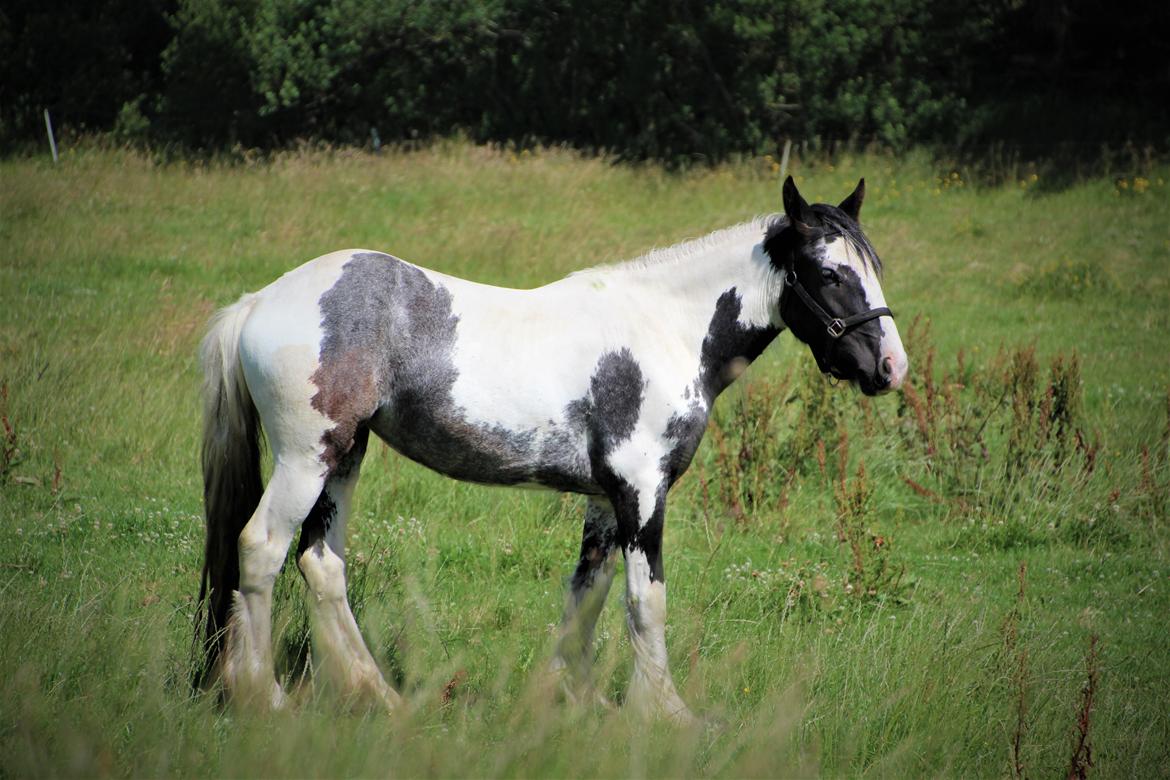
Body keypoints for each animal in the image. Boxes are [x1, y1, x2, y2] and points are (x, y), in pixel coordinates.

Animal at [196, 175, 907, 720]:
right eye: (829, 272)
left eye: (874, 269)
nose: (890, 368)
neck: (666, 328)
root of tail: (258, 302)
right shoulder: (642, 492)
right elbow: (645, 601)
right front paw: (666, 714)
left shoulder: (605, 499)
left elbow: (587, 594)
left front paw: (573, 701)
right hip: (305, 459)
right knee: (261, 550)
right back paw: (266, 698)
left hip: (344, 457)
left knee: (321, 564)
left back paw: (381, 698)